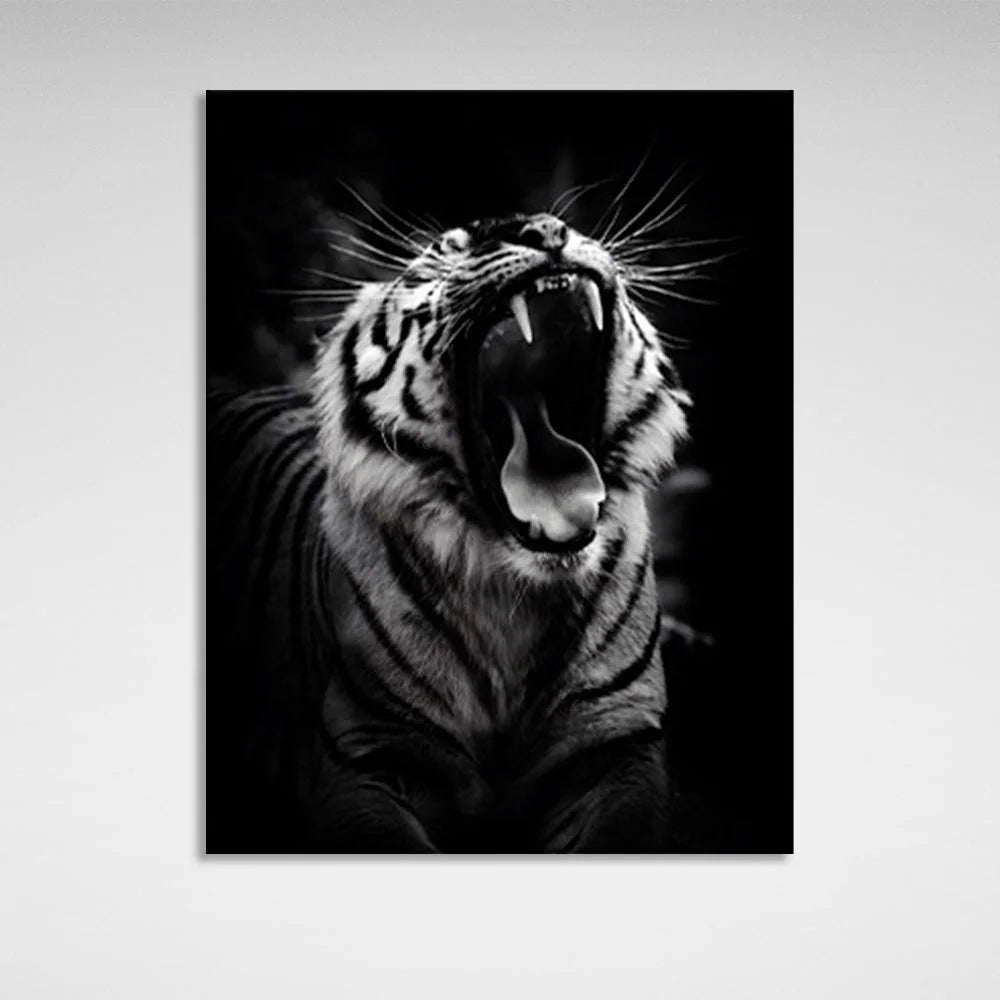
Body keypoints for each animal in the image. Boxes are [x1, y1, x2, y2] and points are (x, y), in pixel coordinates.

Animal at [207, 210, 692, 853]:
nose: (541, 228)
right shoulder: (370, 758)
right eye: (444, 249)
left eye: (561, 225)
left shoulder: (618, 745)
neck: (514, 596)